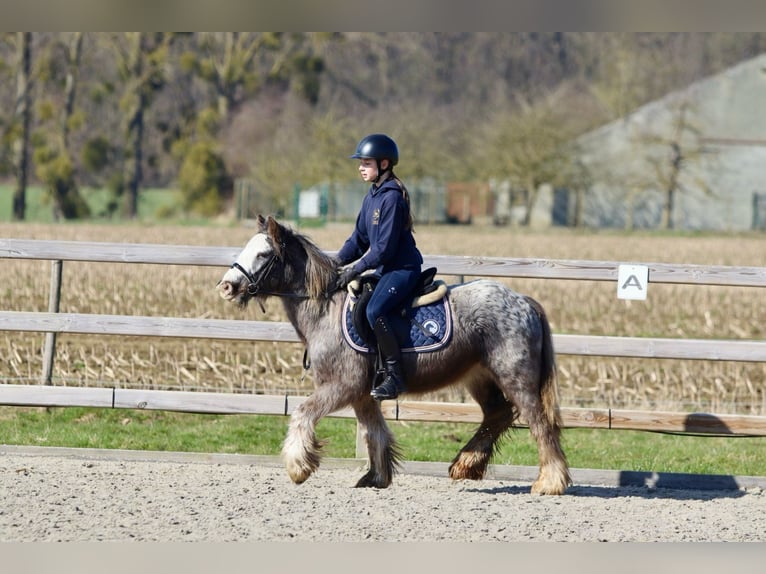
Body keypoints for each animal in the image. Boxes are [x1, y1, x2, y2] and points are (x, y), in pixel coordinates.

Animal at [216, 215, 568, 496]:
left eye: (263, 254)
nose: (226, 287)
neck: (325, 308)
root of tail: (523, 301)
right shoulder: (362, 394)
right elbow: (375, 433)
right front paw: (376, 477)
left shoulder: (343, 386)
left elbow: (303, 413)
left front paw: (299, 467)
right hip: (479, 377)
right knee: (498, 414)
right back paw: (465, 464)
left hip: (515, 378)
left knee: (539, 424)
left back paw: (549, 482)